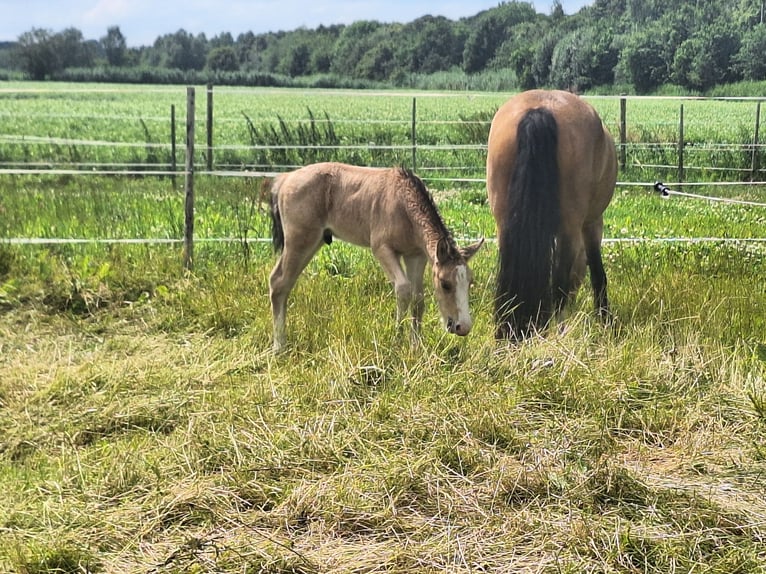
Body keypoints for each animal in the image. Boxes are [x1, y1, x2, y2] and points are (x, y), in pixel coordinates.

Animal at [270, 160, 486, 354]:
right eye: (445, 284)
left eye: (469, 282)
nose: (463, 326)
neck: (402, 205)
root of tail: (284, 179)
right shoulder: (382, 249)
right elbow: (403, 289)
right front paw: (397, 341)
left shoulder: (416, 256)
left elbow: (418, 298)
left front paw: (416, 346)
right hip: (300, 240)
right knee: (278, 282)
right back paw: (279, 346)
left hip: (313, 242)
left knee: (283, 283)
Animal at [488, 90, 620, 342]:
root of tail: (540, 109)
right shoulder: (592, 224)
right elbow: (597, 273)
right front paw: (605, 319)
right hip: (571, 227)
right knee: (559, 284)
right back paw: (559, 332)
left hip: (503, 223)